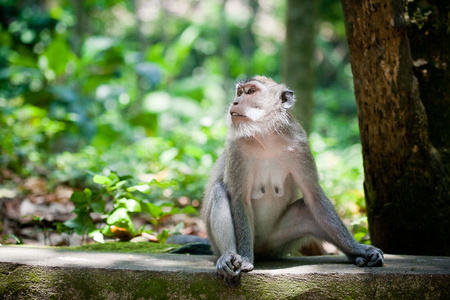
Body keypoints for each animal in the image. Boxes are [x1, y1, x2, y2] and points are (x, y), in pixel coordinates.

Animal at [202, 75, 384, 286]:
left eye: (250, 92)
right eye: (239, 92)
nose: (235, 102)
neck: (265, 137)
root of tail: (261, 250)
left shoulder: (299, 145)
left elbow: (314, 196)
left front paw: (359, 248)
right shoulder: (236, 148)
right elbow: (240, 198)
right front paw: (246, 258)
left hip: (275, 243)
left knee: (308, 210)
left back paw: (356, 256)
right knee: (219, 190)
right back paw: (228, 256)